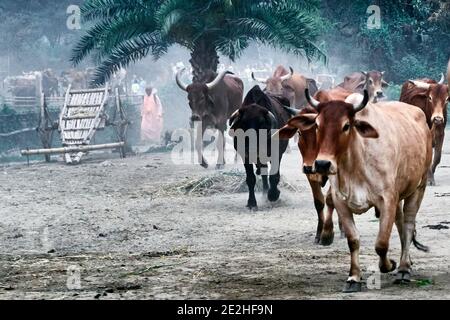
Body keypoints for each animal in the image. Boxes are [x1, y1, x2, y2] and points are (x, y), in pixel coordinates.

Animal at [286, 90, 430, 292]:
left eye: (346, 125)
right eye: (317, 124)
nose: (322, 164)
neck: (355, 160)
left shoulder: (387, 200)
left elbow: (381, 244)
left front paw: (389, 265)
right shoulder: (341, 202)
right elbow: (353, 240)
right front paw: (353, 277)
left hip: (418, 187)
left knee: (408, 224)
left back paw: (403, 269)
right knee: (401, 224)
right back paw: (407, 262)